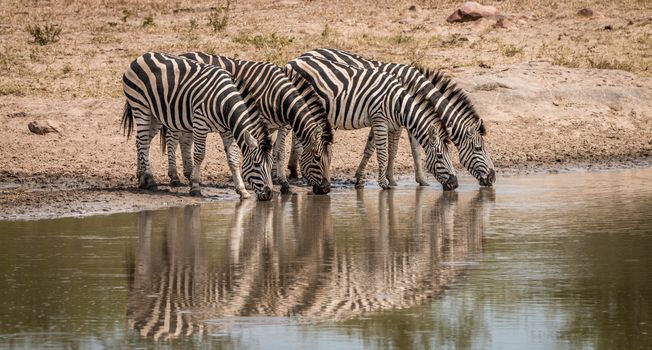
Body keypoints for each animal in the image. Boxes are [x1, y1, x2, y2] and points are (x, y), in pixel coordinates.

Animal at [122, 51, 276, 200]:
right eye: (256, 164)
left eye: (270, 165)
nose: (269, 194)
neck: (224, 104)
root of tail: (142, 56)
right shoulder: (200, 124)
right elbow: (199, 155)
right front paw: (195, 186)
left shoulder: (227, 131)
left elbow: (233, 158)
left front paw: (242, 190)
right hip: (140, 106)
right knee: (142, 141)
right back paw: (150, 180)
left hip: (156, 113)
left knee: (142, 141)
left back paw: (142, 177)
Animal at [161, 53, 336, 197]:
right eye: (317, 158)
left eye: (330, 158)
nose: (326, 189)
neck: (277, 95)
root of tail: (182, 54)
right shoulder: (262, 121)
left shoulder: (281, 125)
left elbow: (278, 151)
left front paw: (283, 183)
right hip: (178, 109)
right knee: (172, 138)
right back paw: (174, 177)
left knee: (185, 140)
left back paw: (188, 173)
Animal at [292, 48, 496, 189]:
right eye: (479, 148)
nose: (493, 178)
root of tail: (306, 53)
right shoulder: (395, 119)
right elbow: (393, 149)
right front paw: (389, 179)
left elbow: (406, 149)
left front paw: (420, 180)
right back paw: (295, 172)